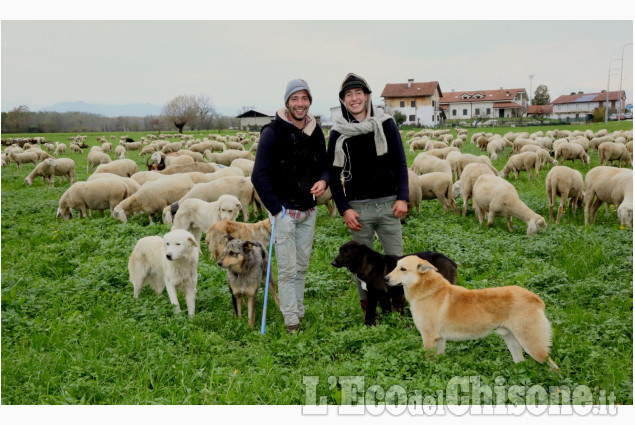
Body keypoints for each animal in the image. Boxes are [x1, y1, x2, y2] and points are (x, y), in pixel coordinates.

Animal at [386, 255, 560, 368]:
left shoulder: (429, 338)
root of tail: (535, 299)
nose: (385, 279)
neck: (427, 290)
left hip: (534, 347)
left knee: (554, 367)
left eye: (403, 269)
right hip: (512, 341)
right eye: (395, 266)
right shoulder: (440, 340)